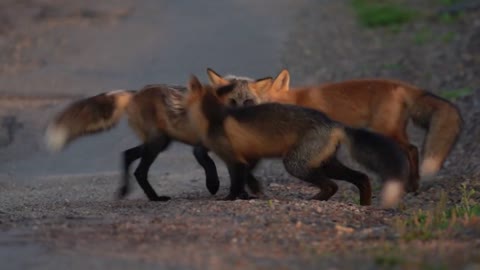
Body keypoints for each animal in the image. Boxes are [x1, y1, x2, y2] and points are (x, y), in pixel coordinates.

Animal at [186, 76, 410, 209]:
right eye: (231, 101)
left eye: (248, 101)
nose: (240, 116)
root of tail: (333, 123)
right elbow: (202, 156)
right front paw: (216, 183)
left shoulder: (244, 156)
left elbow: (240, 177)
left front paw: (236, 195)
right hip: (326, 164)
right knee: (361, 178)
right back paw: (363, 205)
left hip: (296, 164)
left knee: (333, 185)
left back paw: (315, 201)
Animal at [208, 68, 464, 193]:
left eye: (251, 101)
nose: (243, 119)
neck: (296, 100)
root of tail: (402, 85)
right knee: (411, 149)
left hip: (386, 130)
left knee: (412, 149)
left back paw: (413, 185)